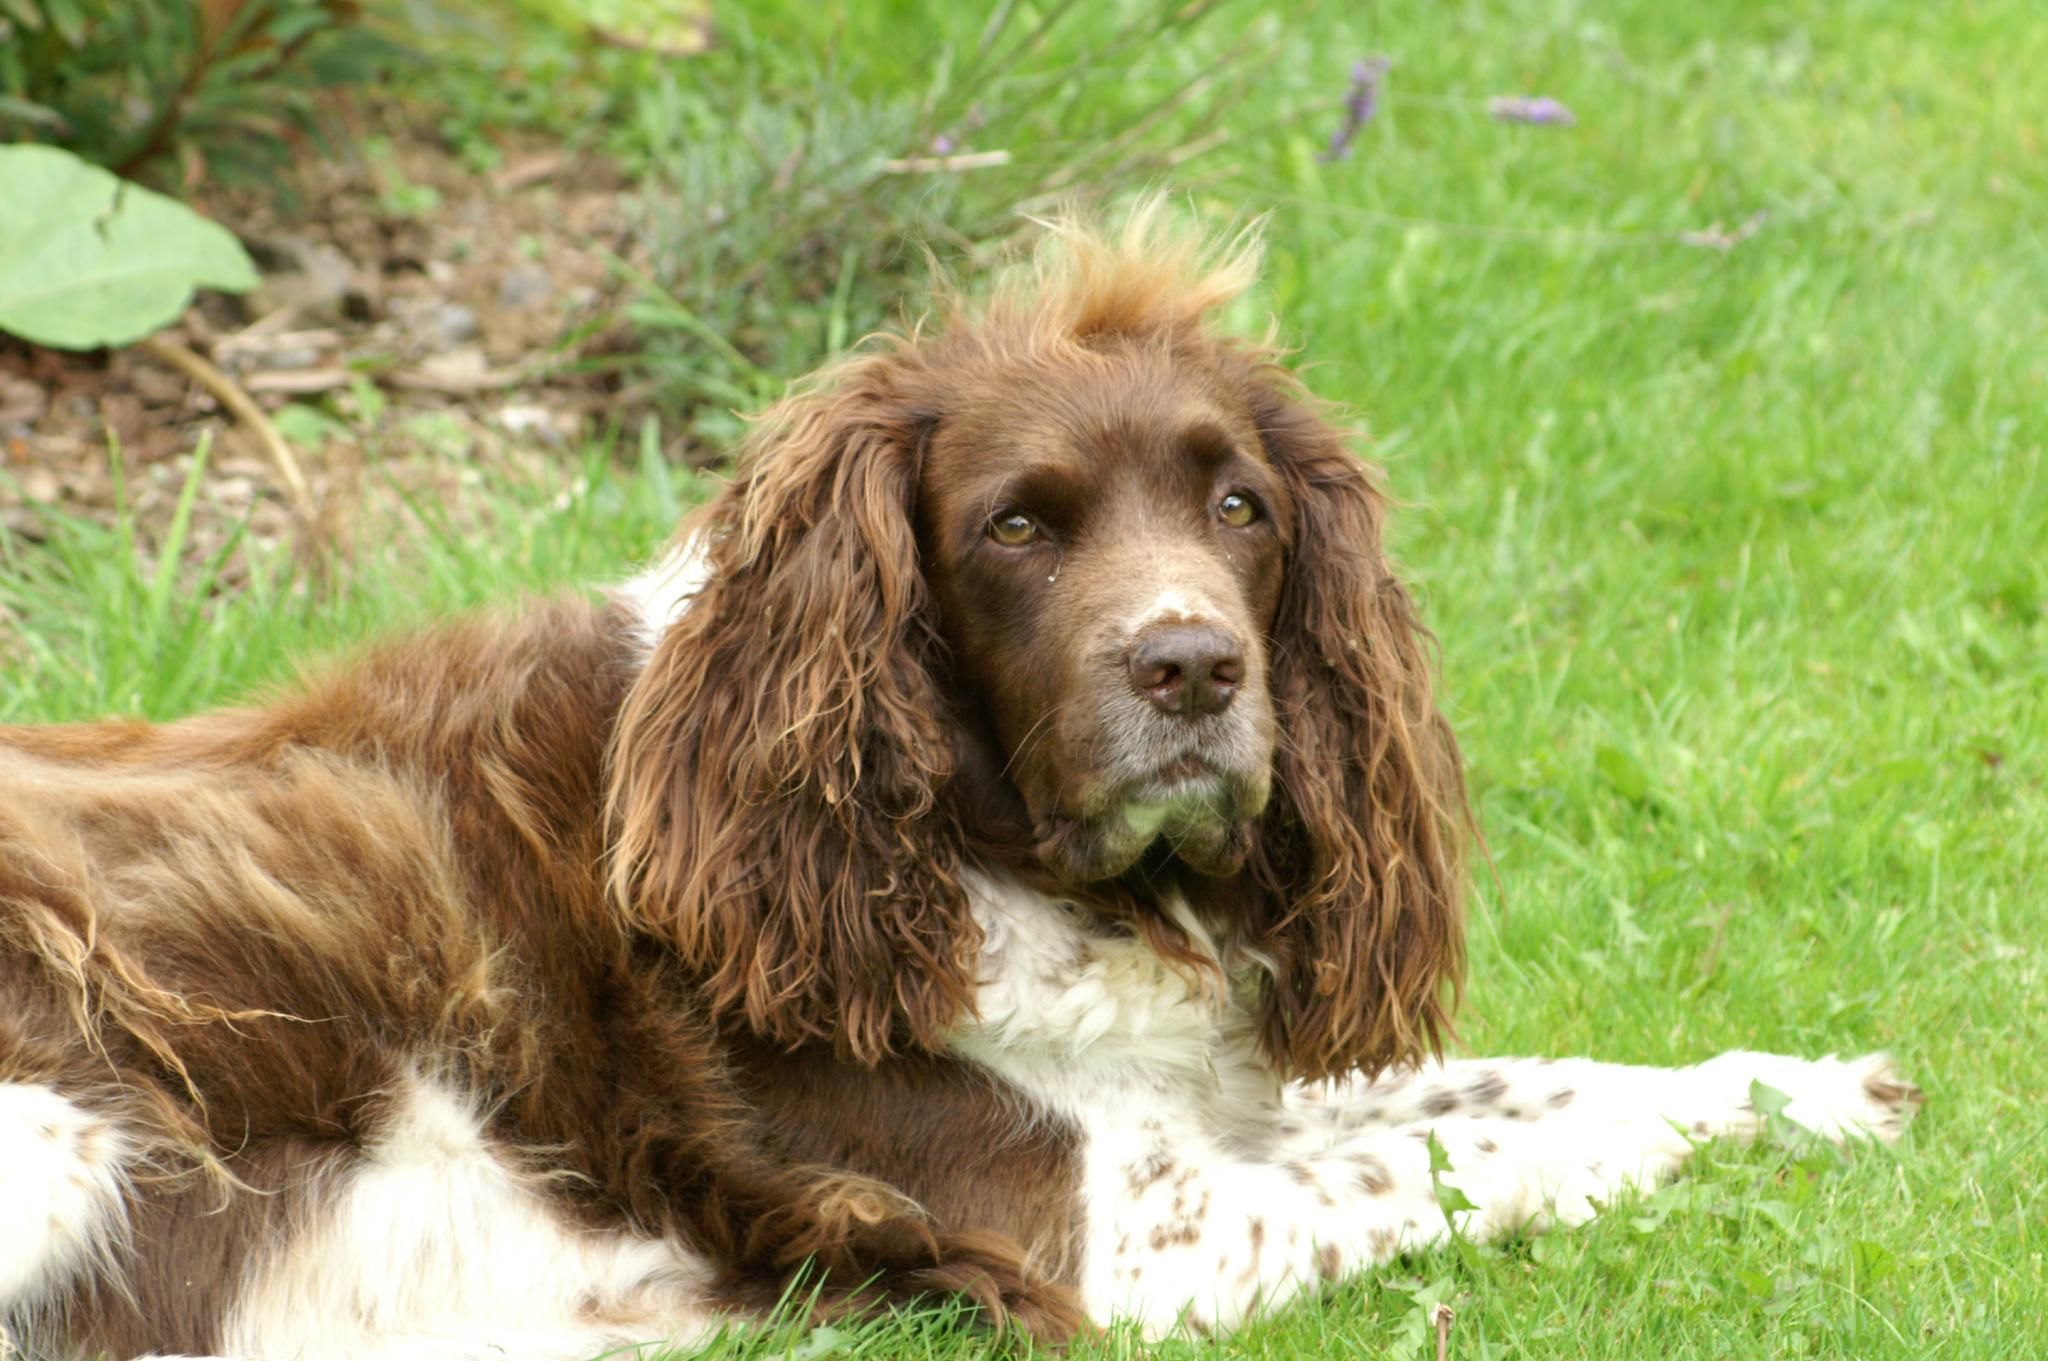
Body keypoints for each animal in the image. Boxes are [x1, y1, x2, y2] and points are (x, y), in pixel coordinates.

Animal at [4, 204, 1916, 1358]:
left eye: (1241, 507)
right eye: (1014, 529)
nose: (1192, 668)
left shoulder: (1204, 1099)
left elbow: (1520, 1084)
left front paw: (1806, 1086)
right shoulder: (1114, 1233)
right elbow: (1461, 1150)